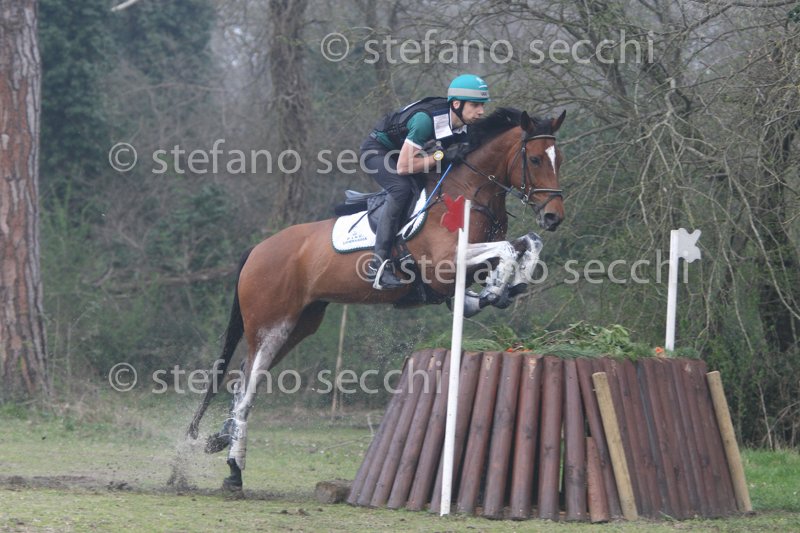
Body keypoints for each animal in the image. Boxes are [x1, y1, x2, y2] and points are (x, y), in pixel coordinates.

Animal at [185, 107, 566, 491]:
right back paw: (234, 468)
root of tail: (257, 250)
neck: (471, 191)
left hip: (297, 326)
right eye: (535, 158)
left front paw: (503, 289)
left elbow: (527, 242)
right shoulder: (444, 264)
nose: (554, 216)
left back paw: (224, 445)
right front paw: (497, 289)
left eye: (558, 158)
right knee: (246, 390)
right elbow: (508, 248)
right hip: (269, 326)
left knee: (244, 383)